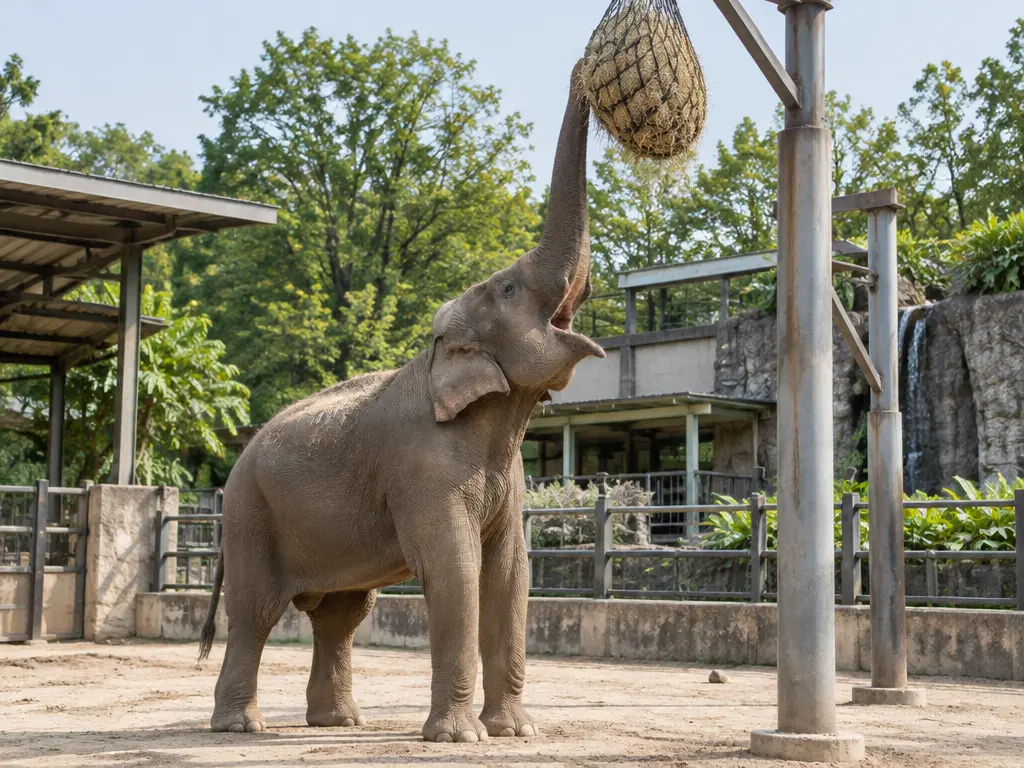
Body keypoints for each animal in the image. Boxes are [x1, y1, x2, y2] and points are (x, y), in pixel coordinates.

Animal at [198, 61, 602, 743]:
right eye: (510, 288)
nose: (584, 70)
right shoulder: (422, 468)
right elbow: (456, 571)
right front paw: (461, 738)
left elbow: (510, 576)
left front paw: (515, 734)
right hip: (250, 513)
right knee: (254, 612)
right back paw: (241, 728)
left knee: (341, 614)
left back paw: (337, 723)